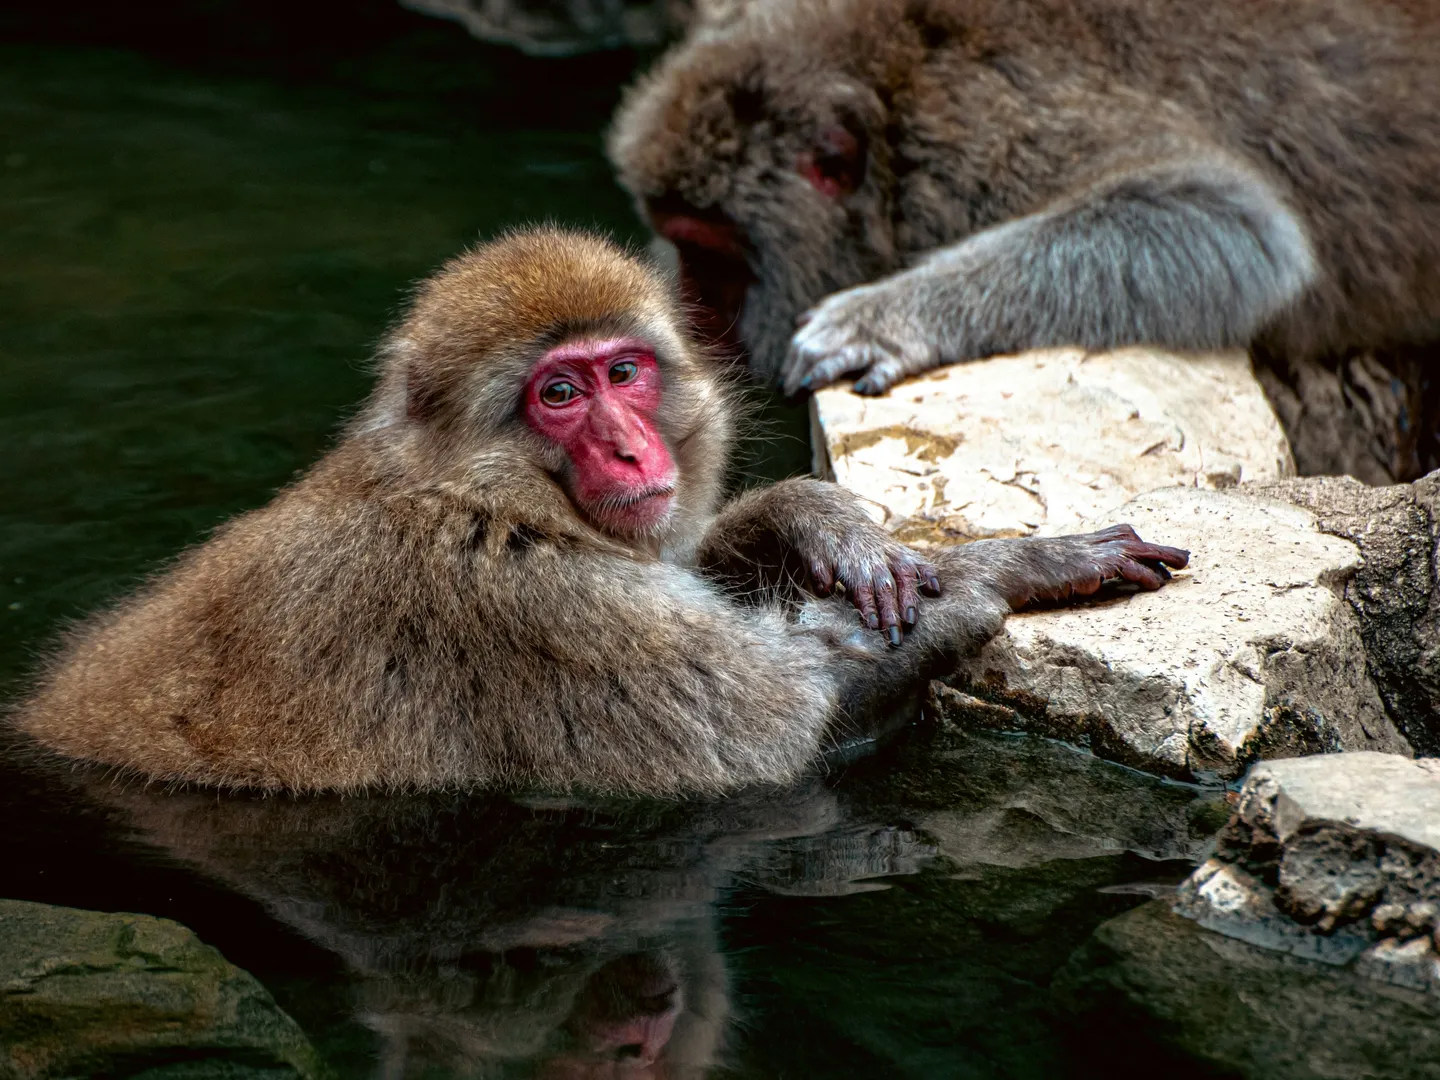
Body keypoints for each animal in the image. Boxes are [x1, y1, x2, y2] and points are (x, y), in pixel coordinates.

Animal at [12, 227, 1187, 796]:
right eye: (559, 395)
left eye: (624, 372)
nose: (630, 446)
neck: (472, 487)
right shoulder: (528, 604)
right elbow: (780, 738)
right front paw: (1001, 574)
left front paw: (823, 523)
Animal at [606, 0, 1440, 484]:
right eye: (677, 244)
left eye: (711, 256)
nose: (692, 319)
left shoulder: (983, 134)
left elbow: (1234, 223)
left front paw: (887, 316)